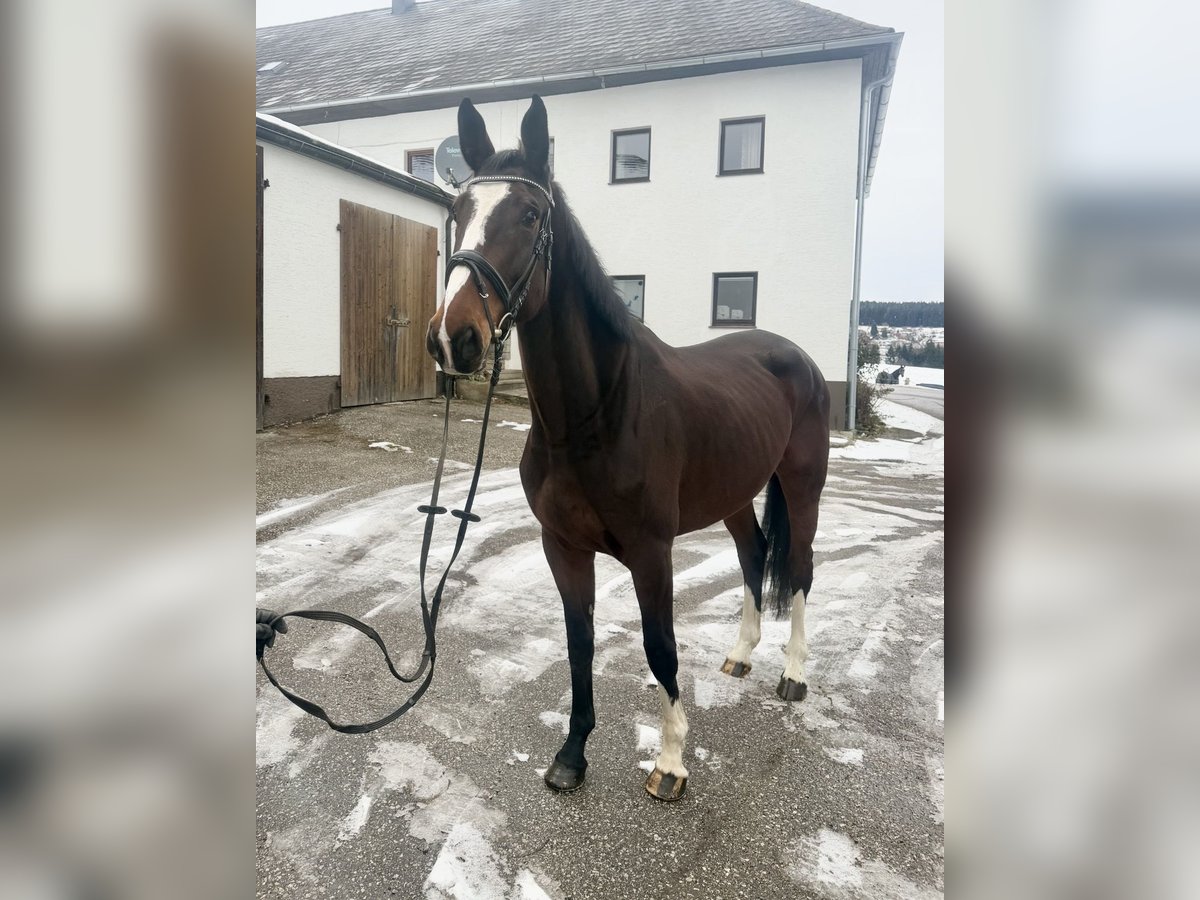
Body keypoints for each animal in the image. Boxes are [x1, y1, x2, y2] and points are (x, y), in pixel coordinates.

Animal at [427, 96, 830, 801]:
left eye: (529, 215)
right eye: (458, 215)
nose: (454, 339)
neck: (593, 417)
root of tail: (796, 356)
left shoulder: (651, 552)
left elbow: (659, 646)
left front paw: (669, 763)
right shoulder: (562, 546)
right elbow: (579, 642)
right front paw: (572, 753)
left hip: (802, 484)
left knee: (800, 567)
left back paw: (793, 675)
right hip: (733, 493)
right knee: (754, 555)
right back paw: (740, 656)